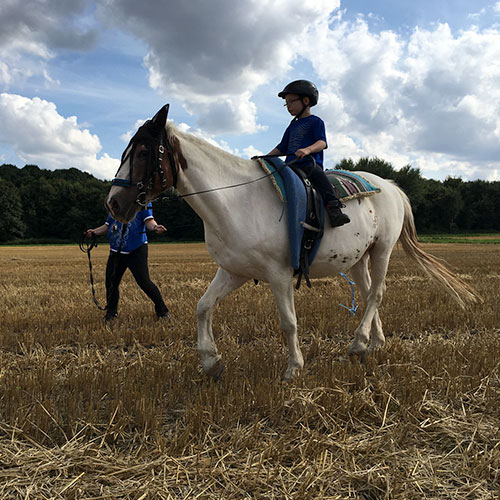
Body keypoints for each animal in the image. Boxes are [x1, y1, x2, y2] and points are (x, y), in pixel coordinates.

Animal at [105, 104, 480, 378]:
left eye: (142, 152)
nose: (113, 204)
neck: (236, 200)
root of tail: (389, 185)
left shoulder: (280, 274)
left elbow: (288, 322)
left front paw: (293, 368)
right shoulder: (233, 271)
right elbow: (203, 307)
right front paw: (211, 362)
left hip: (382, 250)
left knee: (377, 293)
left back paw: (359, 343)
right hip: (358, 259)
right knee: (369, 292)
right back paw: (373, 344)